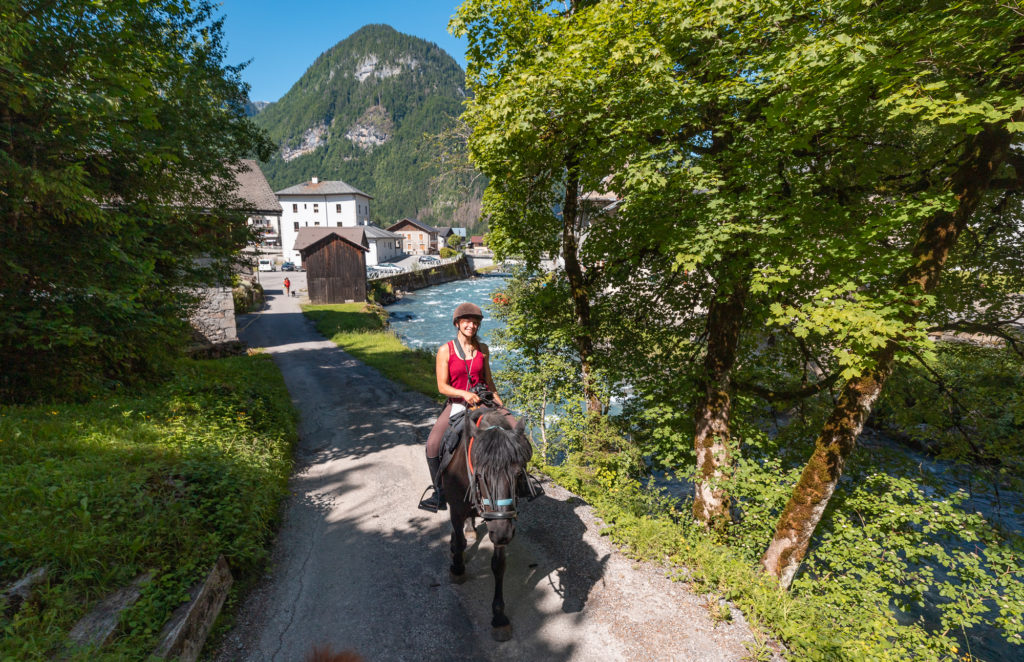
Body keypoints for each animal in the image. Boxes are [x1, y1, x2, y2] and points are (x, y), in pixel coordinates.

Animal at [440, 407, 532, 639]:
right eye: (481, 474)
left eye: (518, 473)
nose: (502, 534)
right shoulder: (456, 509)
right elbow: (457, 537)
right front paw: (457, 568)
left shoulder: (502, 523)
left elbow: (499, 565)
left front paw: (499, 618)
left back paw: (471, 529)